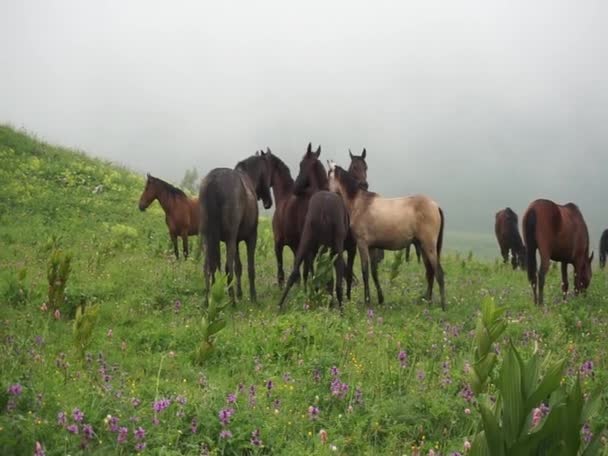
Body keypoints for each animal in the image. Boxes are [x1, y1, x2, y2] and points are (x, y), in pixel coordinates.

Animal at [200, 151, 274, 304]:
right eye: (268, 171)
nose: (268, 202)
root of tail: (213, 181)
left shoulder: (236, 240)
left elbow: (238, 266)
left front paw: (240, 293)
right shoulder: (250, 237)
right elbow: (250, 268)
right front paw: (253, 296)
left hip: (208, 238)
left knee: (207, 267)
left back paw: (208, 299)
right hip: (229, 238)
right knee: (227, 267)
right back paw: (232, 300)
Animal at [280, 145, 354, 310]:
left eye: (301, 165)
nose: (295, 188)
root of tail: (324, 207)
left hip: (308, 241)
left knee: (295, 272)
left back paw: (280, 306)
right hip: (334, 247)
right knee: (337, 277)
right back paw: (340, 307)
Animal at [328, 160, 446, 310]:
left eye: (328, 174)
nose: (325, 190)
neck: (359, 203)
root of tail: (435, 205)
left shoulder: (362, 244)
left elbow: (365, 271)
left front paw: (367, 301)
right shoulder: (372, 247)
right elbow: (374, 272)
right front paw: (380, 299)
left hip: (429, 246)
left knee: (439, 273)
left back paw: (443, 306)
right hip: (423, 247)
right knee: (430, 273)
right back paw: (428, 302)